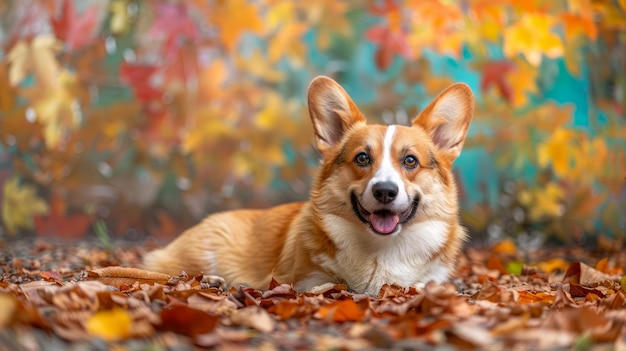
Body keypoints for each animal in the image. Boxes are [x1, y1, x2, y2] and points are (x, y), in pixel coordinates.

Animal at [143, 75, 472, 296]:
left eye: (411, 161)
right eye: (362, 157)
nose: (385, 191)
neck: (382, 249)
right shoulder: (304, 279)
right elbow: (329, 283)